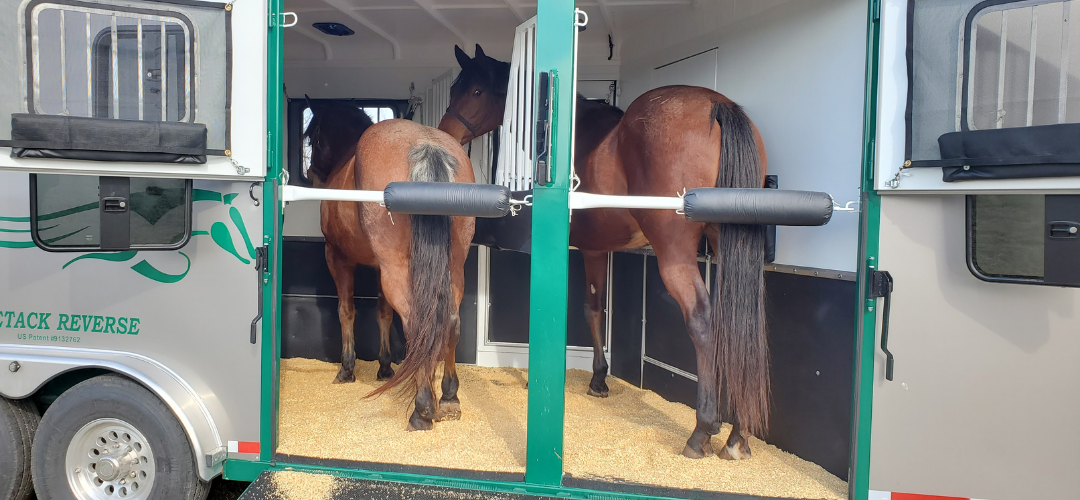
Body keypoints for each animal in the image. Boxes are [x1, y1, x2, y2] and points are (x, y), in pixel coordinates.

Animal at [310, 44, 510, 430]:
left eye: (312, 135)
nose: (312, 172)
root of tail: (425, 143)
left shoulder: (337, 258)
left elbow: (347, 310)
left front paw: (347, 369)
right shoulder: (379, 267)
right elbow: (383, 313)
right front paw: (386, 365)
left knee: (418, 321)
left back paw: (422, 408)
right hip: (452, 264)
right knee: (448, 322)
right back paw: (448, 398)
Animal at [569, 87, 770, 461]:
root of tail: (718, 104)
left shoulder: (589, 251)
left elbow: (589, 309)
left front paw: (597, 380)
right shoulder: (598, 251)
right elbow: (597, 308)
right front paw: (600, 379)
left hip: (674, 256)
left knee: (702, 320)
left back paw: (701, 432)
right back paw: (738, 437)